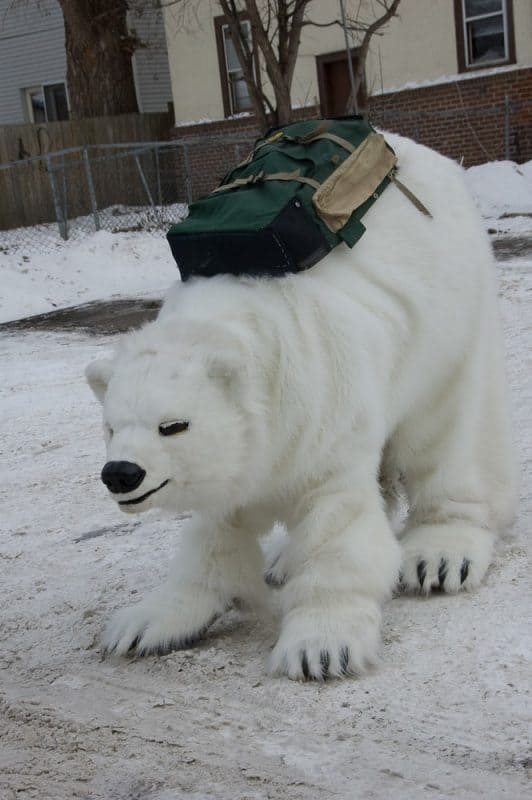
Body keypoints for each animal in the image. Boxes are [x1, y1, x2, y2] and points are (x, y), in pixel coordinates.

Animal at [86, 132, 515, 681]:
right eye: (110, 427)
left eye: (173, 425)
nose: (120, 473)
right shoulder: (252, 457)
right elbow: (214, 538)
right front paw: (144, 624)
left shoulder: (324, 409)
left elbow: (339, 527)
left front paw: (321, 648)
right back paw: (283, 561)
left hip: (451, 316)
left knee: (449, 428)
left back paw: (440, 554)